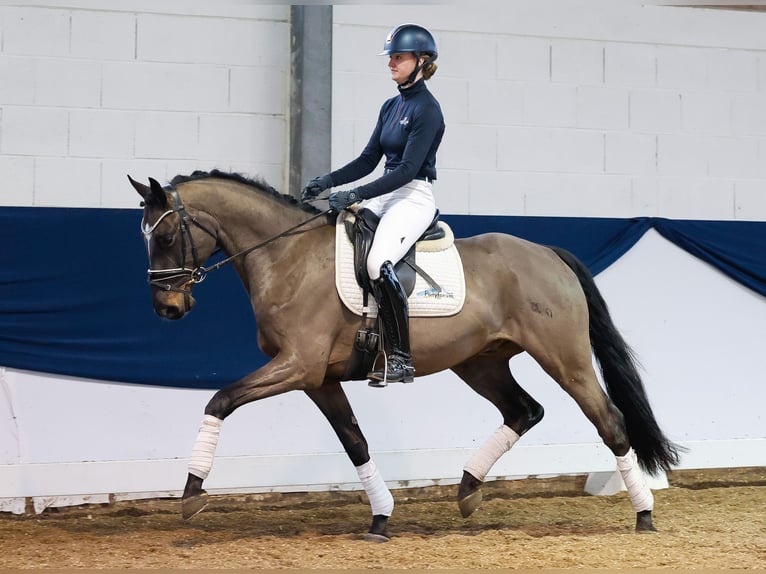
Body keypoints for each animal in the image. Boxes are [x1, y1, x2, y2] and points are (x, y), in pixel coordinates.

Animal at [129, 169, 680, 544]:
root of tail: (547, 253)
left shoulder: (298, 365)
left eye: (166, 235)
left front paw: (192, 495)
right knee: (524, 410)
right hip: (479, 362)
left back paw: (644, 513)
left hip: (564, 358)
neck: (286, 258)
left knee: (608, 420)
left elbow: (220, 400)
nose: (167, 308)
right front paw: (380, 516)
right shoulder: (317, 379)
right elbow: (355, 442)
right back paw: (467, 490)